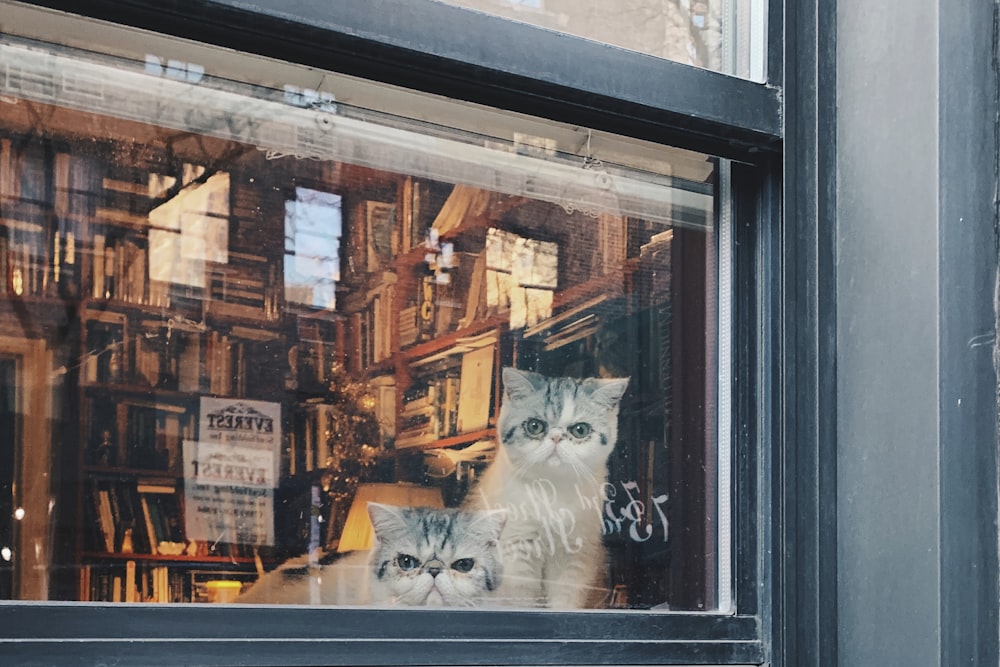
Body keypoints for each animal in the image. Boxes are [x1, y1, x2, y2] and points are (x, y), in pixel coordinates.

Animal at [464, 368, 628, 612]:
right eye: (535, 426)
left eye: (580, 430)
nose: (557, 437)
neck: (552, 491)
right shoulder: (516, 553)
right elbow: (521, 601)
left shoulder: (574, 555)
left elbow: (565, 598)